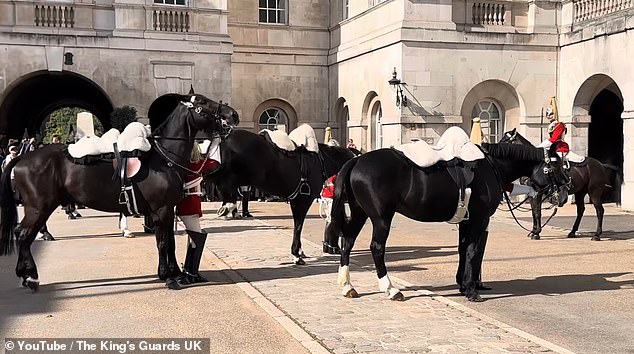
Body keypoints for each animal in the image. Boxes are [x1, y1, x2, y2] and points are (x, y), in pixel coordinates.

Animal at [0, 94, 237, 290]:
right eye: (202, 103)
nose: (232, 114)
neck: (163, 158)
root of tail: (23, 158)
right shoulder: (161, 209)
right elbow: (163, 242)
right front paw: (168, 277)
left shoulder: (167, 210)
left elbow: (170, 242)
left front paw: (176, 273)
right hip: (39, 208)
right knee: (23, 234)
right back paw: (30, 276)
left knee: (23, 234)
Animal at [207, 129, 356, 262]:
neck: (322, 161)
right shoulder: (303, 200)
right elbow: (298, 225)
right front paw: (296, 254)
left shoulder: (296, 200)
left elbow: (298, 225)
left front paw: (299, 251)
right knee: (225, 184)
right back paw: (228, 206)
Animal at [326, 141, 568, 302]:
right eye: (555, 166)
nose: (566, 192)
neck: (490, 166)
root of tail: (357, 159)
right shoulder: (479, 220)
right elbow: (472, 251)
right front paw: (471, 290)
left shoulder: (465, 221)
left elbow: (462, 249)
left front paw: (462, 284)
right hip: (381, 218)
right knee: (376, 248)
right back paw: (391, 289)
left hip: (360, 213)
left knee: (347, 242)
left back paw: (347, 286)